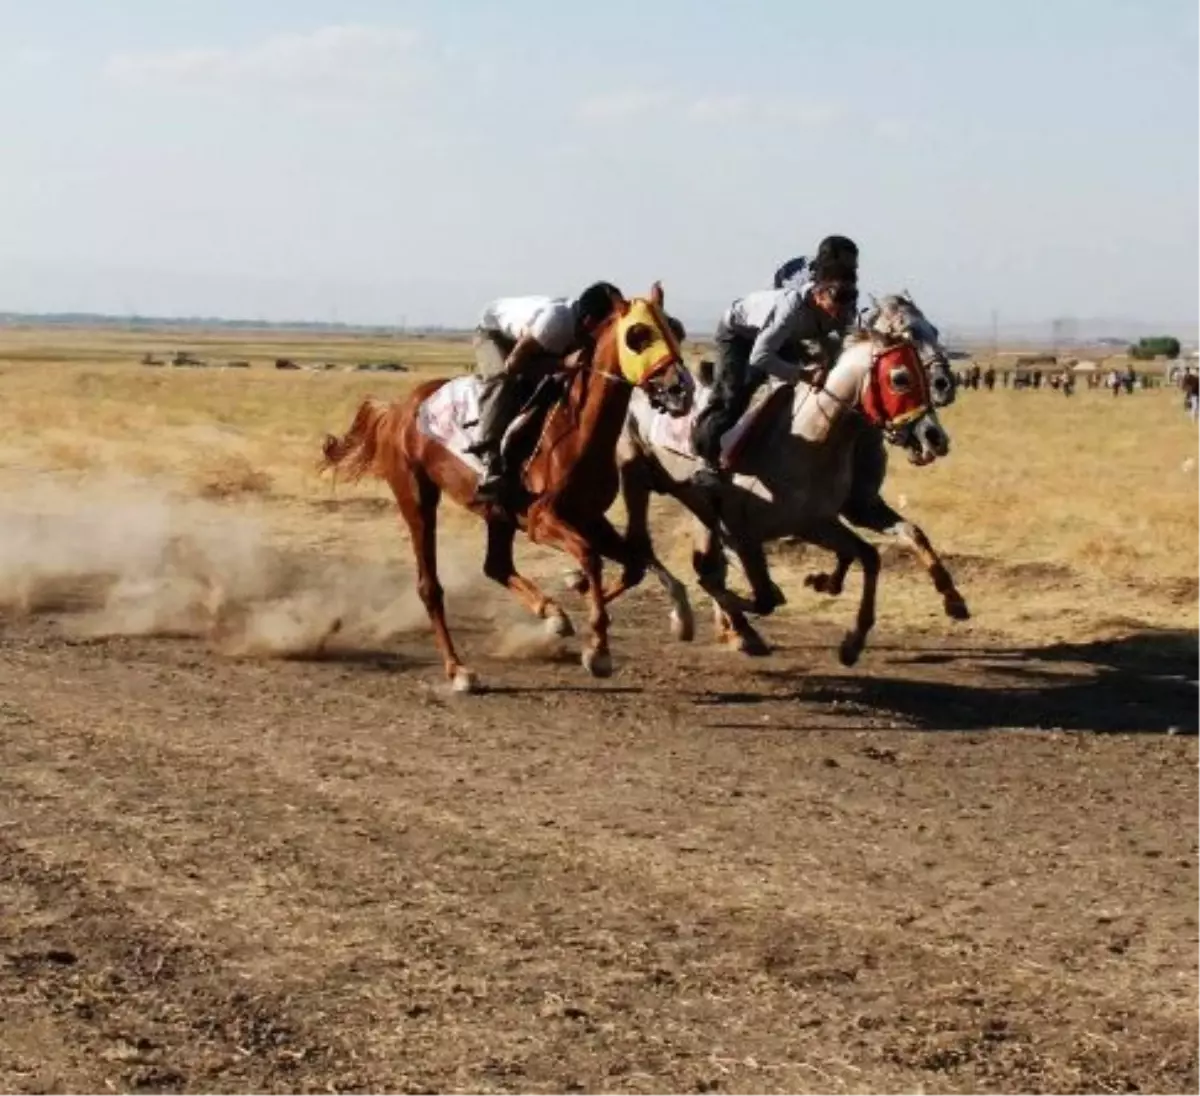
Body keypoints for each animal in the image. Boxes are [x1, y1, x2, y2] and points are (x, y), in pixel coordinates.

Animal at [319, 282, 696, 691]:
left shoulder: (590, 517)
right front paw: (597, 650)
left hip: (496, 512)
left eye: (675, 329)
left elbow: (634, 564)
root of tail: (398, 410)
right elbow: (591, 556)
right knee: (430, 586)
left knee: (496, 564)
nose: (682, 390)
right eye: (638, 335)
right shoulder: (541, 520)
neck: (576, 431)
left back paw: (551, 614)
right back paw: (458, 670)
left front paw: (661, 615)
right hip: (416, 498)